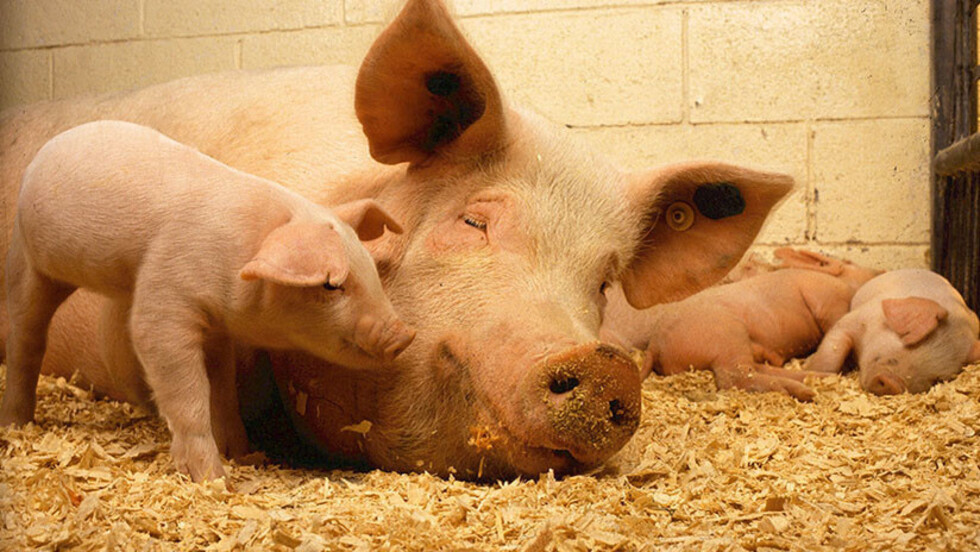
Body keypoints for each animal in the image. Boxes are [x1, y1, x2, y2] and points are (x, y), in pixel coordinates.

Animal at [0, 120, 415, 481]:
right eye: (331, 285)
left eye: (370, 268)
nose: (404, 334)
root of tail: (48, 149)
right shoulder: (164, 296)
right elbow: (186, 388)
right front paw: (213, 478)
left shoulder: (217, 328)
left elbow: (223, 389)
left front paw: (245, 454)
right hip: (29, 261)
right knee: (26, 337)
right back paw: (17, 423)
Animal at [604, 248, 882, 400]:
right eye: (851, 264)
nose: (878, 272)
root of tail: (655, 346)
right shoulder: (827, 298)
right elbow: (833, 322)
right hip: (727, 334)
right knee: (734, 377)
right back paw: (805, 392)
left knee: (753, 369)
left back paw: (812, 382)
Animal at [806, 269, 980, 395]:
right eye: (911, 343)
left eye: (936, 379)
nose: (893, 384)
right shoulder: (855, 319)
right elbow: (833, 353)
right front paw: (811, 370)